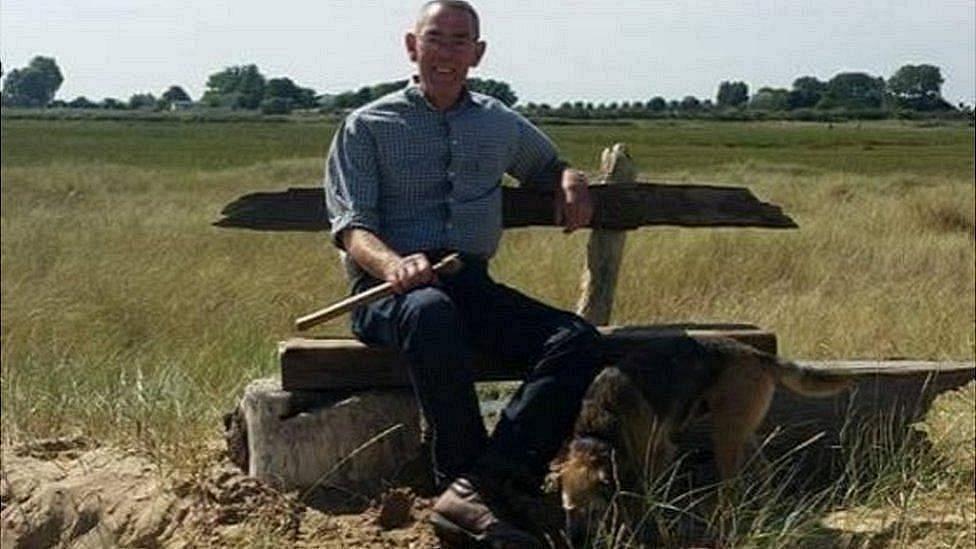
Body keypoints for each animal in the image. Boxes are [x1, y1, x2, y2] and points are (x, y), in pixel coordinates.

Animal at [552, 334, 852, 544]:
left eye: (591, 512)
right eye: (567, 510)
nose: (574, 542)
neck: (596, 433)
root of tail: (755, 354)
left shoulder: (657, 452)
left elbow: (643, 495)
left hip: (725, 435)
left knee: (733, 484)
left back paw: (729, 525)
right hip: (740, 432)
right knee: (764, 469)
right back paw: (763, 511)